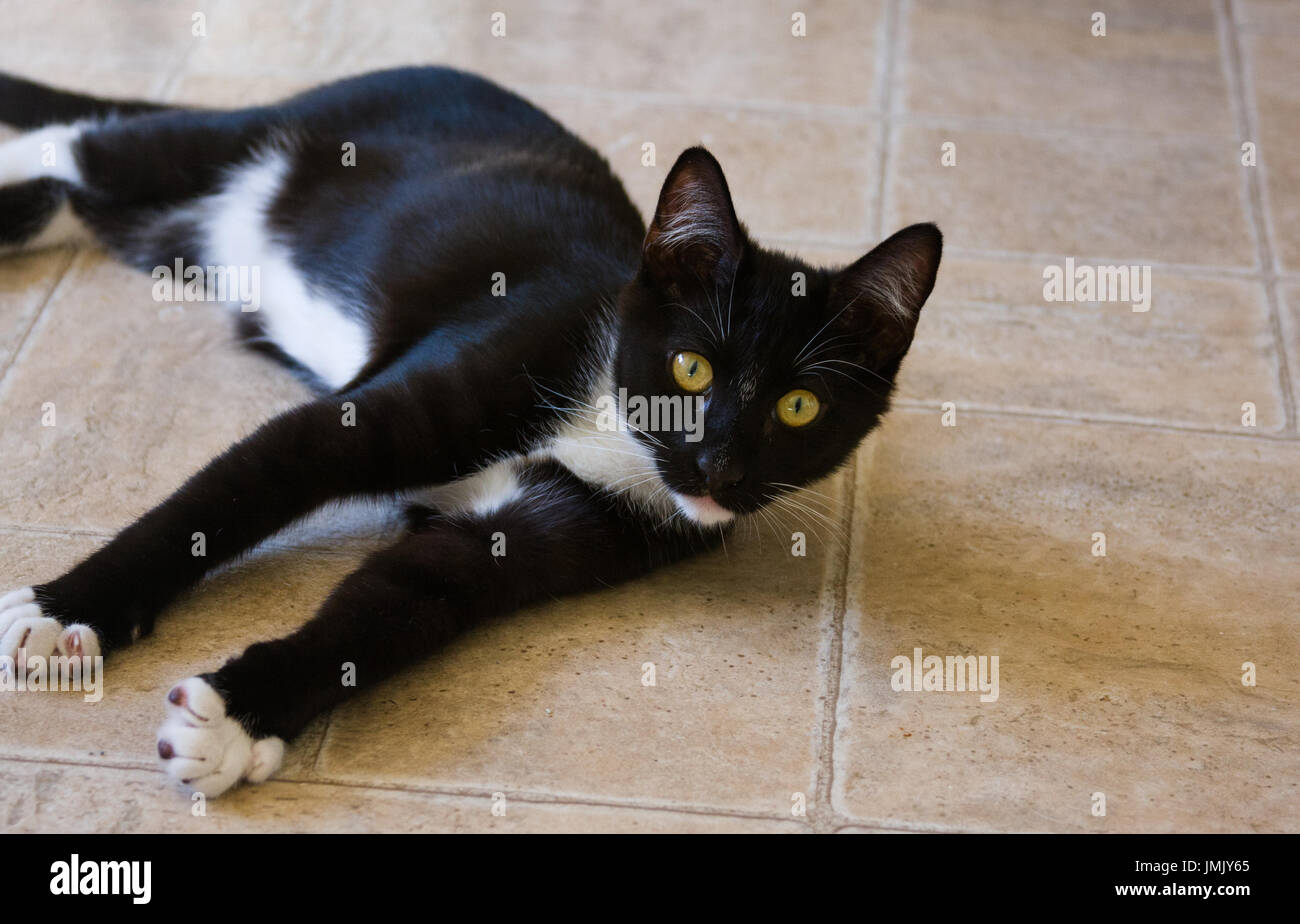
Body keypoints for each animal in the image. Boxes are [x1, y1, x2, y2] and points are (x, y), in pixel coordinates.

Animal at [0, 68, 941, 800]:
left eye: (799, 408)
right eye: (691, 369)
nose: (720, 466)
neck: (602, 423)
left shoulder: (526, 534)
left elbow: (395, 606)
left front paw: (235, 718)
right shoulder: (361, 420)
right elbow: (220, 500)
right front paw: (63, 609)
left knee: (80, 197)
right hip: (233, 140)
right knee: (83, 141)